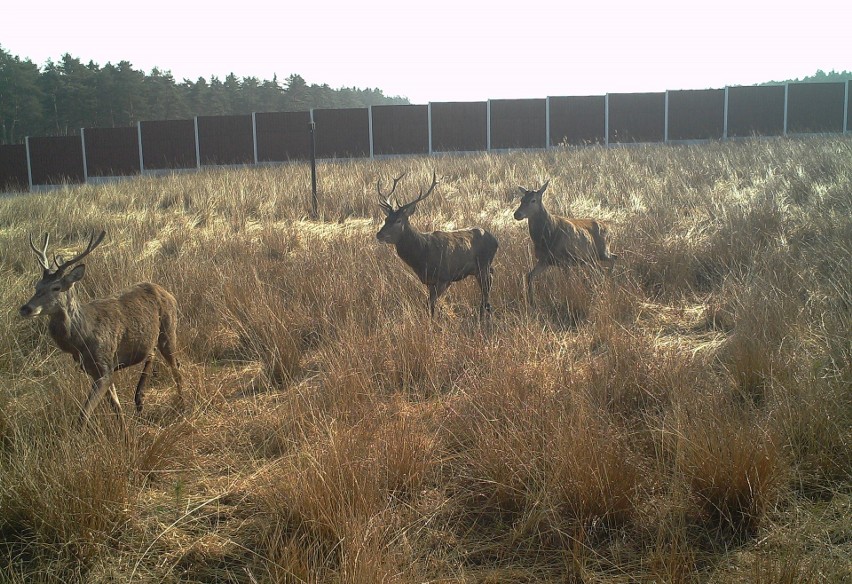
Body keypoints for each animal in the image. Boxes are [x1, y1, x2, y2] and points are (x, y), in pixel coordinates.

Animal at [19, 230, 183, 436]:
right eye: (36, 285)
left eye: (56, 287)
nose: (25, 308)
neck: (81, 340)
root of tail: (168, 293)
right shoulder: (96, 369)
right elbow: (116, 407)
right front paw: (125, 435)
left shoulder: (104, 364)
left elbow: (84, 414)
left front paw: (78, 439)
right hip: (150, 336)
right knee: (151, 353)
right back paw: (139, 400)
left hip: (169, 328)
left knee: (176, 365)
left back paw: (182, 405)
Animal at [374, 172, 500, 320]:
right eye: (386, 219)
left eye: (399, 220)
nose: (379, 234)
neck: (422, 255)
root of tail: (495, 240)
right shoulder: (429, 281)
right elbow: (430, 305)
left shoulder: (444, 277)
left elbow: (430, 304)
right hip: (481, 268)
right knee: (489, 282)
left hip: (483, 264)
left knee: (486, 290)